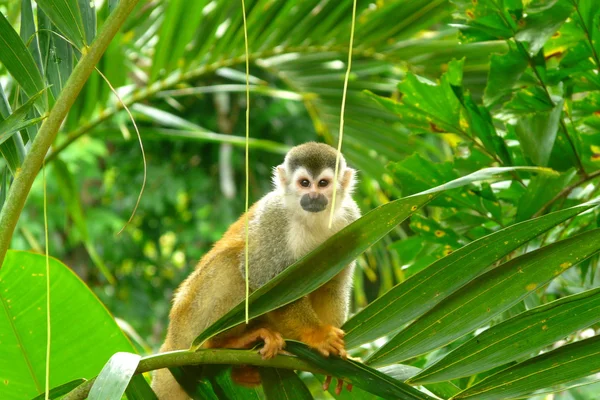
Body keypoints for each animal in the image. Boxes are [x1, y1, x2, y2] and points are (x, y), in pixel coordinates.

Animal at [152, 142, 358, 398]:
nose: (312, 197)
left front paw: (335, 361)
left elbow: (332, 288)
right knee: (233, 266)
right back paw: (220, 343)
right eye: (304, 183)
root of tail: (172, 338)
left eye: (323, 183)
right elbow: (265, 280)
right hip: (190, 319)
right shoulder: (275, 218)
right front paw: (317, 334)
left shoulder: (351, 219)